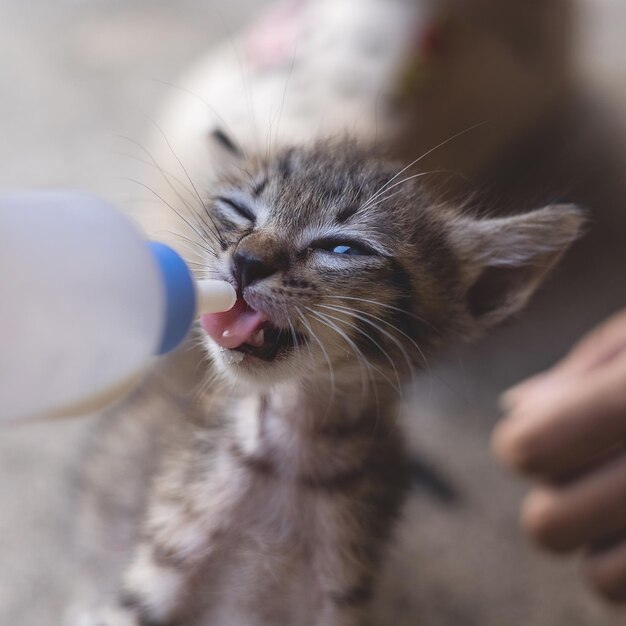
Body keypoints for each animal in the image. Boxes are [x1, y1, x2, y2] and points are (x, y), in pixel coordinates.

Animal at [92, 138, 580, 624]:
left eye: (344, 248)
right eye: (238, 210)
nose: (246, 261)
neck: (292, 452)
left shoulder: (340, 598)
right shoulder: (147, 587)